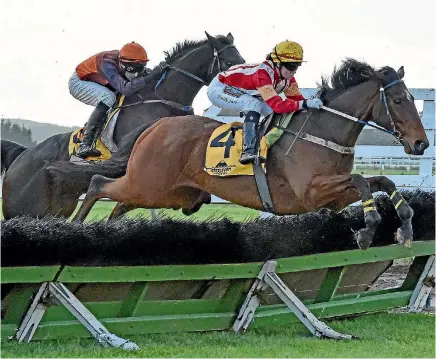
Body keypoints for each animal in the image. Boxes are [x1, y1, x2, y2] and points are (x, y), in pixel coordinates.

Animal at [1, 33, 244, 219]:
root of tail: (20, 157)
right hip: (25, 210)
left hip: (55, 210)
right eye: (229, 63)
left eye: (240, 58)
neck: (161, 96)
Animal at [72, 59, 430, 250]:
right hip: (148, 184)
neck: (322, 132)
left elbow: (380, 180)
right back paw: (75, 229)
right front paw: (368, 228)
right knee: (97, 184)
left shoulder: (333, 198)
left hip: (165, 192)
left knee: (118, 204)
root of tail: (156, 126)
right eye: (399, 100)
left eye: (412, 98)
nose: (421, 144)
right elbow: (361, 179)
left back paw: (107, 234)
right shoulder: (311, 193)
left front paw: (405, 225)